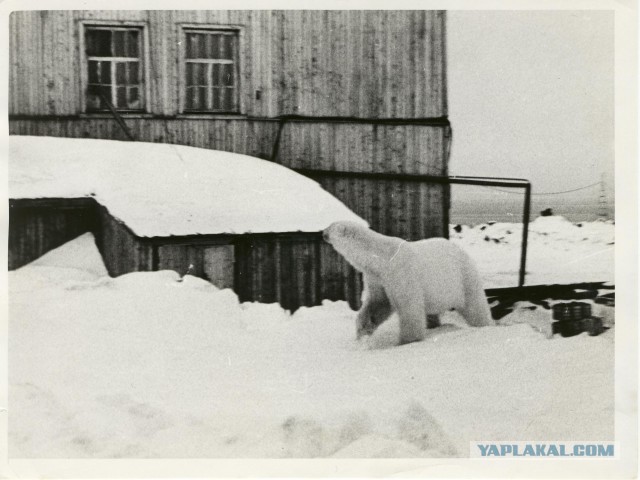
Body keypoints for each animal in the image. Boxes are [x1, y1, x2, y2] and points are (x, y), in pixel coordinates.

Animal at [324, 221, 496, 344]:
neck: (381, 258)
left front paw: (407, 341)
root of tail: (463, 251)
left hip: (463, 278)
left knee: (475, 307)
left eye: (330, 226)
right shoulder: (378, 278)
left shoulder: (401, 272)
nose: (322, 233)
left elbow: (409, 307)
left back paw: (484, 325)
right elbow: (377, 303)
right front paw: (363, 331)